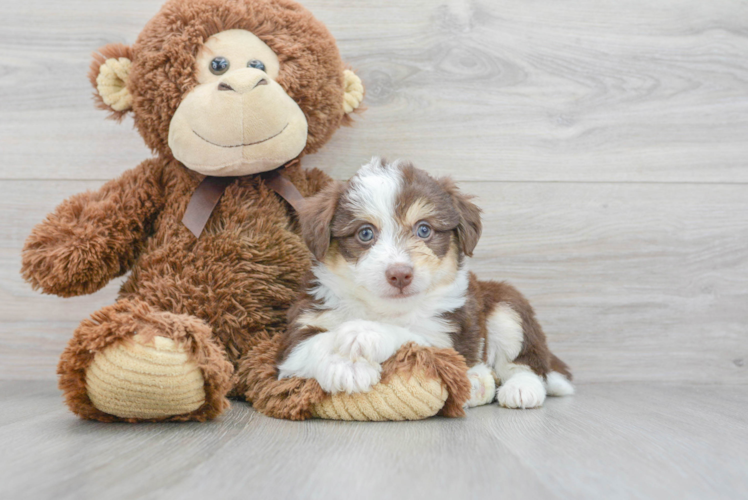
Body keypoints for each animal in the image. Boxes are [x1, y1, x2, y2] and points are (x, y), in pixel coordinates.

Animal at [274, 158, 572, 408]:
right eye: (365, 233)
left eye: (424, 229)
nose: (400, 274)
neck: (383, 308)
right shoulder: (298, 332)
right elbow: (314, 343)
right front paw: (346, 366)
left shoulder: (446, 338)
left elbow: (410, 336)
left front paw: (366, 332)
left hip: (508, 306)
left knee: (529, 365)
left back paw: (521, 389)